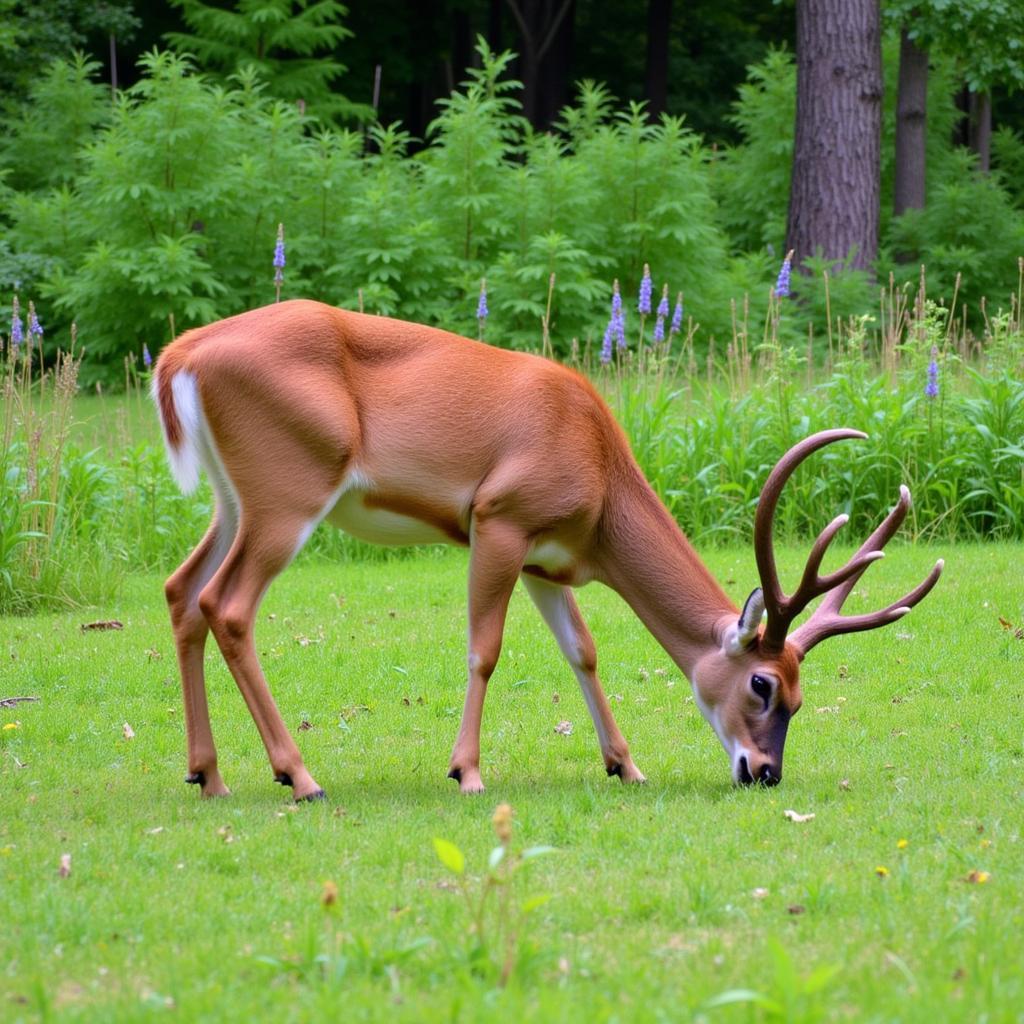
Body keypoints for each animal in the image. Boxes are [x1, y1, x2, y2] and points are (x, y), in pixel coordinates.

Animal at [151, 299, 942, 802]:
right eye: (763, 684)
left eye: (802, 697)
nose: (764, 771)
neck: (598, 465)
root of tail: (181, 356)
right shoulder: (498, 519)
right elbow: (485, 648)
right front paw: (467, 773)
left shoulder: (546, 559)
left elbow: (582, 651)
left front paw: (626, 766)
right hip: (289, 492)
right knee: (228, 605)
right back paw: (301, 777)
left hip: (234, 499)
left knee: (181, 590)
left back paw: (208, 775)